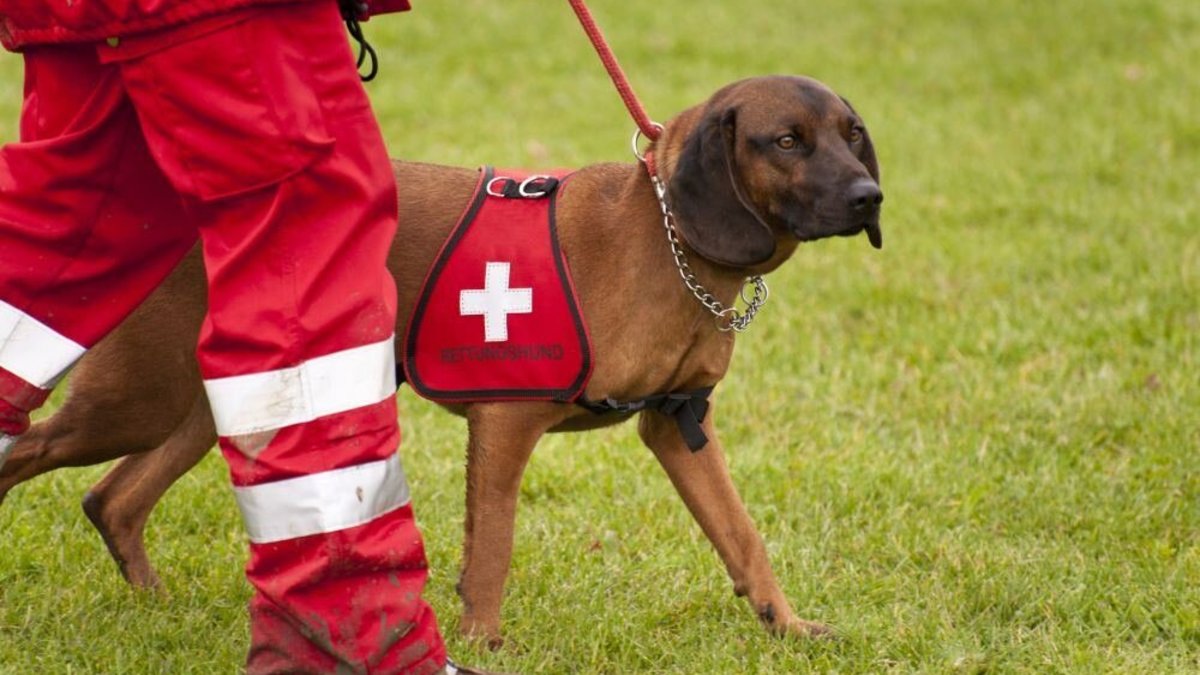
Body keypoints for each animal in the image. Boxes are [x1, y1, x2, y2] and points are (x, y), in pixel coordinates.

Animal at [2, 73, 883, 638]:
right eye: (787, 141)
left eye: (852, 136)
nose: (871, 198)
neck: (666, 239)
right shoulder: (506, 421)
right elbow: (490, 548)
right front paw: (483, 643)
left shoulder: (678, 425)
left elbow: (743, 535)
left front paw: (785, 623)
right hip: (132, 399)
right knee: (29, 451)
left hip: (214, 402)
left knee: (113, 500)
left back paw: (160, 608)